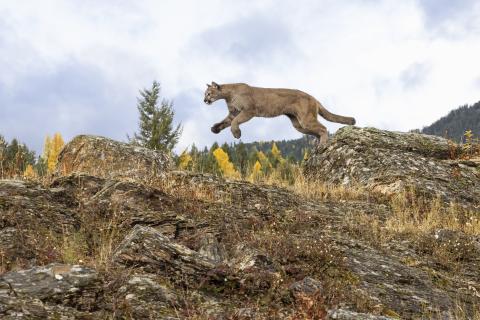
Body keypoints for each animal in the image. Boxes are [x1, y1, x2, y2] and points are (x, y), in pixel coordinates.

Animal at [203, 81, 356, 144]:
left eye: (209, 93)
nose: (204, 100)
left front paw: (237, 134)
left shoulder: (248, 111)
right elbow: (226, 122)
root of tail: (313, 97)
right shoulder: (233, 113)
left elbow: (235, 122)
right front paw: (215, 128)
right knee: (317, 131)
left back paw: (322, 145)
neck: (228, 95)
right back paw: (317, 146)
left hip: (306, 119)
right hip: (299, 124)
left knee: (323, 128)